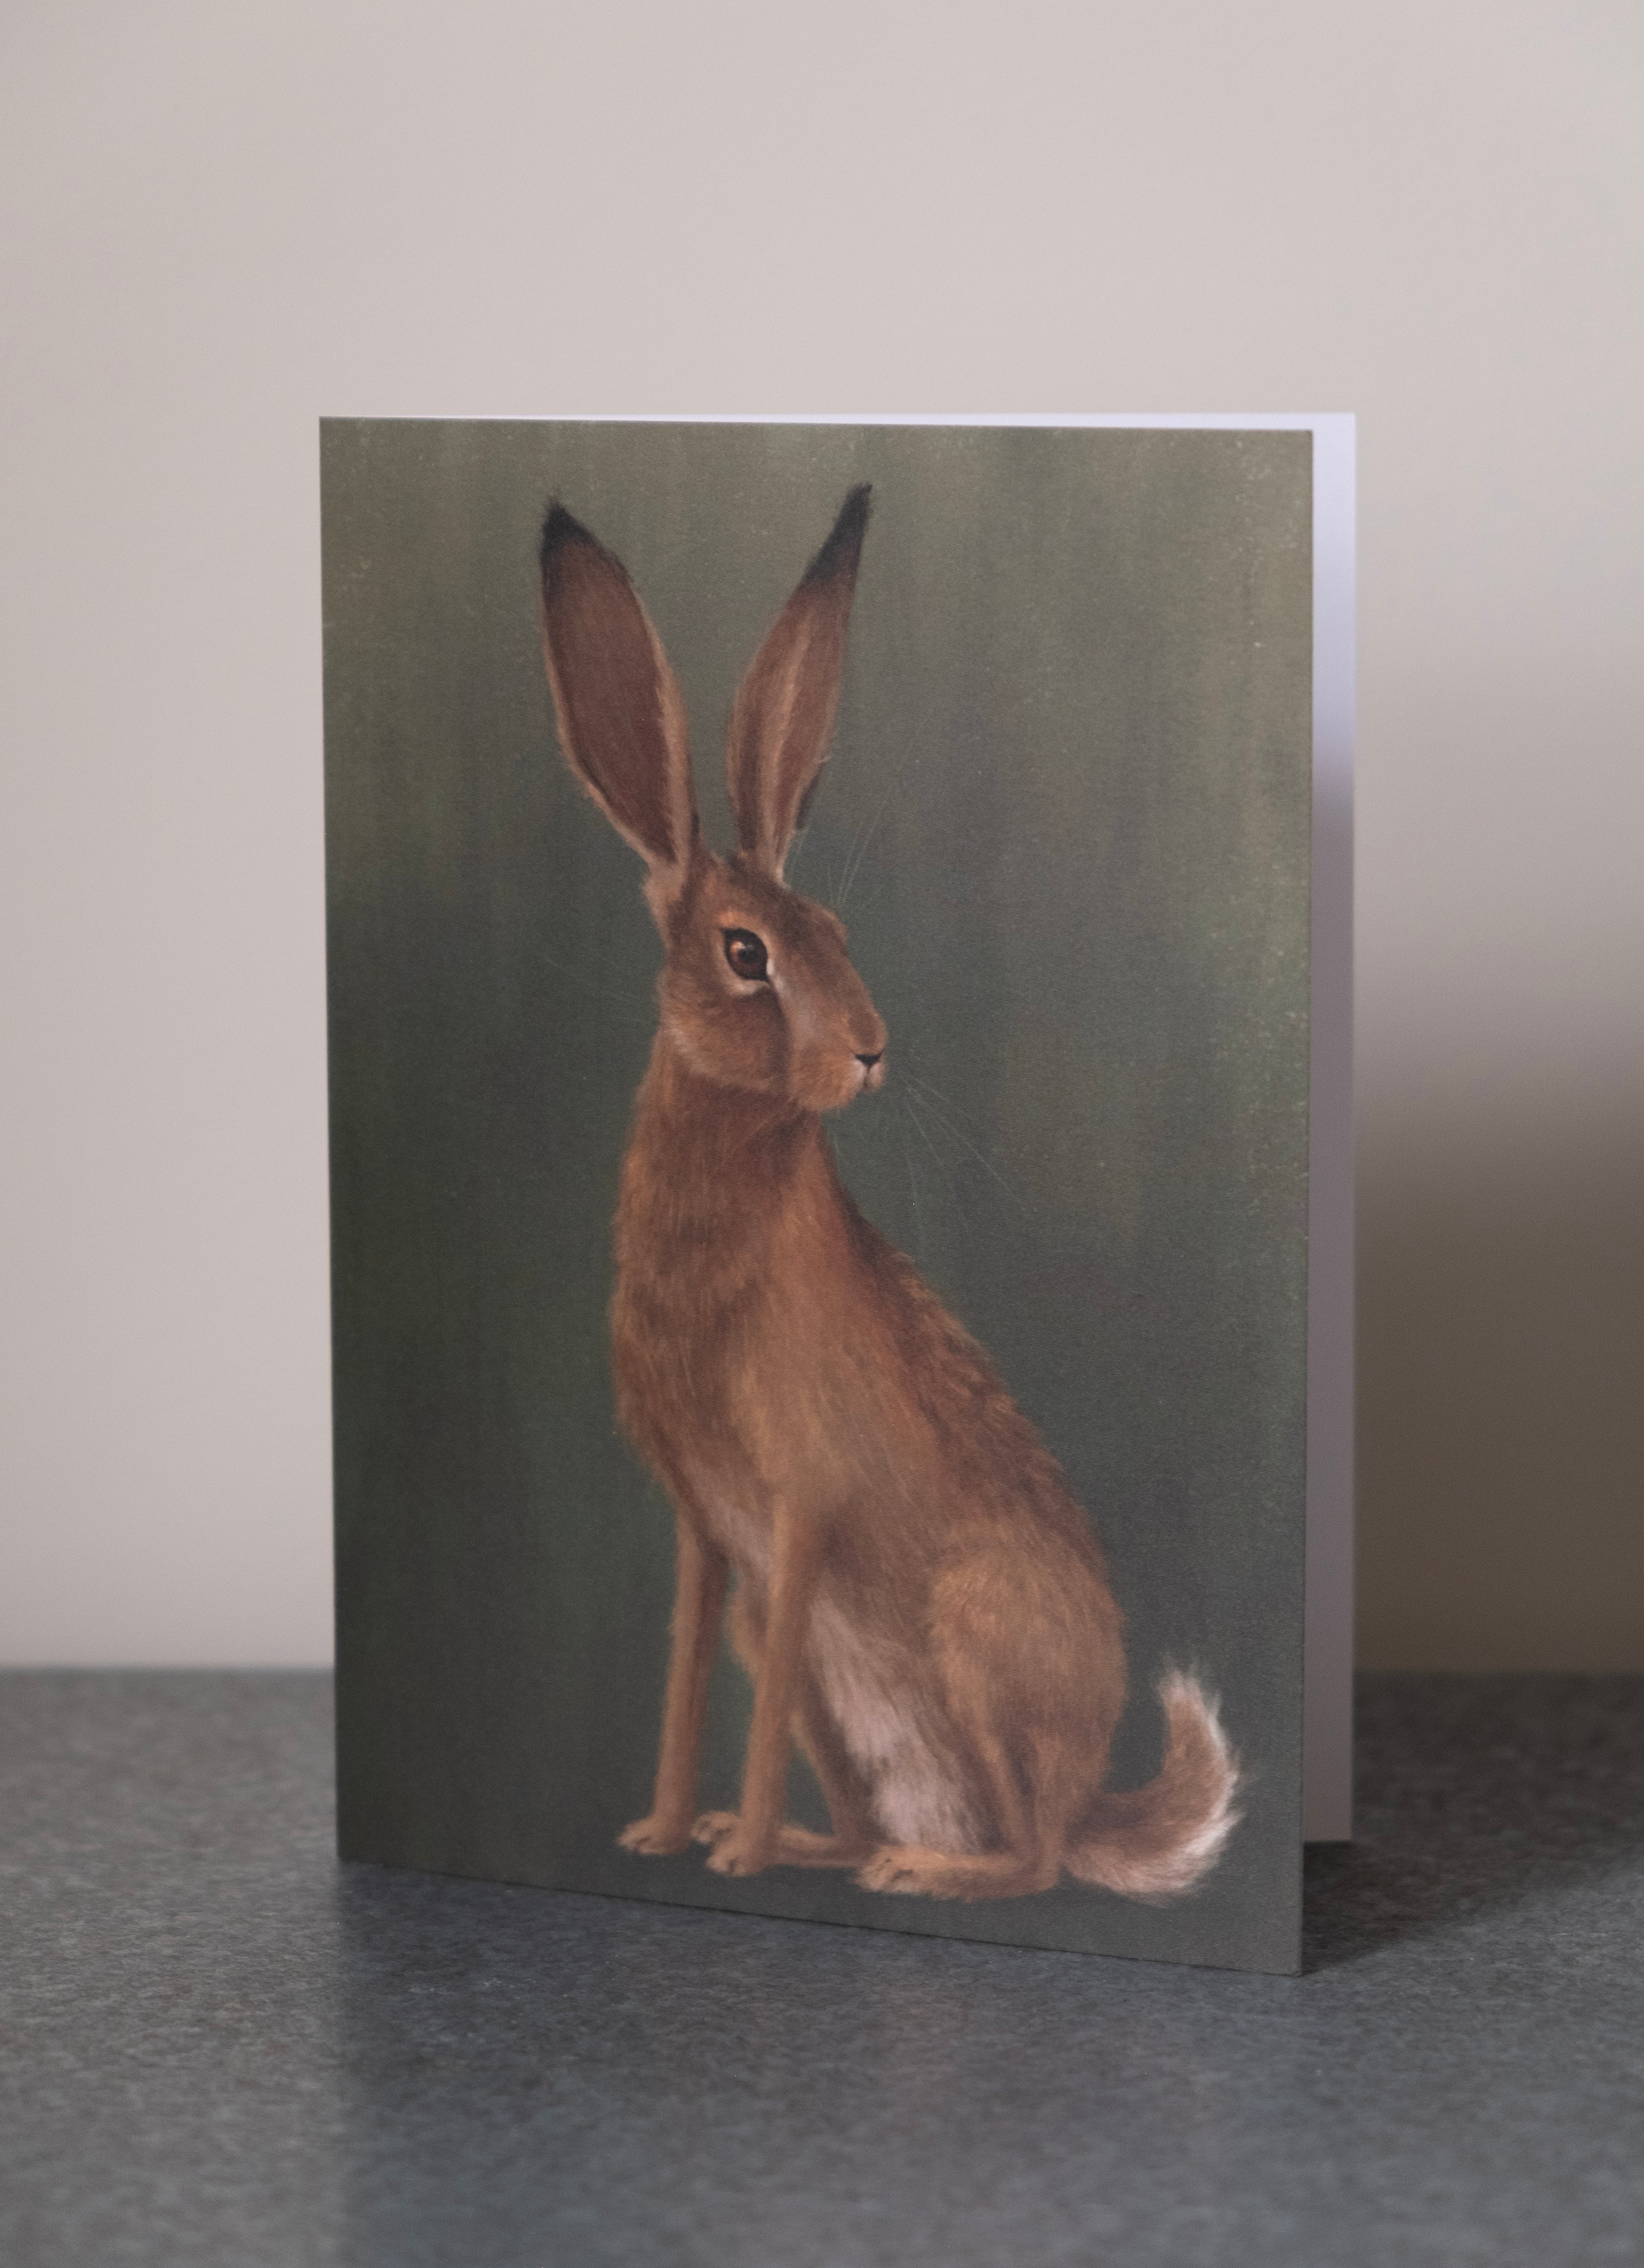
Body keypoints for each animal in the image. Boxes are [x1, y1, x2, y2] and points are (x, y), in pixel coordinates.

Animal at [537, 483, 1240, 1903]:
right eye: (746, 953)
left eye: (839, 939)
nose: (868, 1050)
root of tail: (1090, 1790)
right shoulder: (711, 1534)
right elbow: (685, 1675)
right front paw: (665, 1833)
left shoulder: (801, 1504)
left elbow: (746, 1703)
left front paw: (739, 1853)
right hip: (797, 1645)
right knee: (881, 1794)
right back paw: (821, 1846)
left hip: (973, 1630)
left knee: (1035, 1862)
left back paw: (917, 1873)